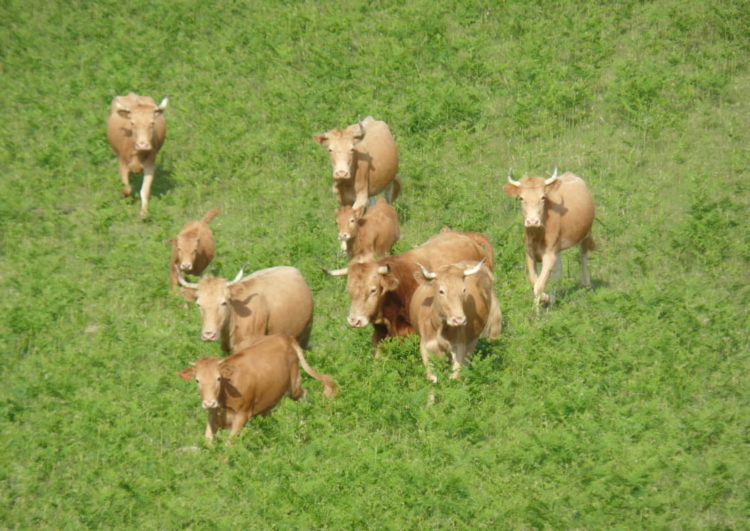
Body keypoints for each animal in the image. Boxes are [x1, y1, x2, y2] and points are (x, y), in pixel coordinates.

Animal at [178, 336, 336, 444]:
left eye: (218, 378)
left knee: (303, 396)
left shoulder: (242, 415)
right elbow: (208, 441)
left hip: (294, 386)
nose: (209, 403)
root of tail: (283, 336)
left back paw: (302, 428)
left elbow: (229, 445)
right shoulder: (212, 415)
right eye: (197, 380)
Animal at [506, 168, 600, 306]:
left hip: (586, 234)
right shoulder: (530, 253)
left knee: (583, 257)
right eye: (521, 198)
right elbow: (535, 282)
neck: (538, 234)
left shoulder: (549, 255)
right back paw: (554, 298)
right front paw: (547, 298)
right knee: (558, 270)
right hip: (558, 248)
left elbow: (539, 285)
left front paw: (538, 308)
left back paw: (586, 284)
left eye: (543, 197)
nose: (532, 221)